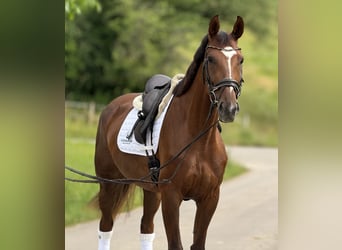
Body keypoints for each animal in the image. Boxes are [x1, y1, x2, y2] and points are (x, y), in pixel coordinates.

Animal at [94, 15, 243, 250]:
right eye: (210, 59)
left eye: (241, 60)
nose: (228, 108)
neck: (197, 140)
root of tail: (111, 107)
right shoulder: (172, 198)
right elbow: (176, 244)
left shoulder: (209, 198)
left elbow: (198, 243)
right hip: (108, 184)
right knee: (105, 227)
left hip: (150, 190)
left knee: (146, 228)